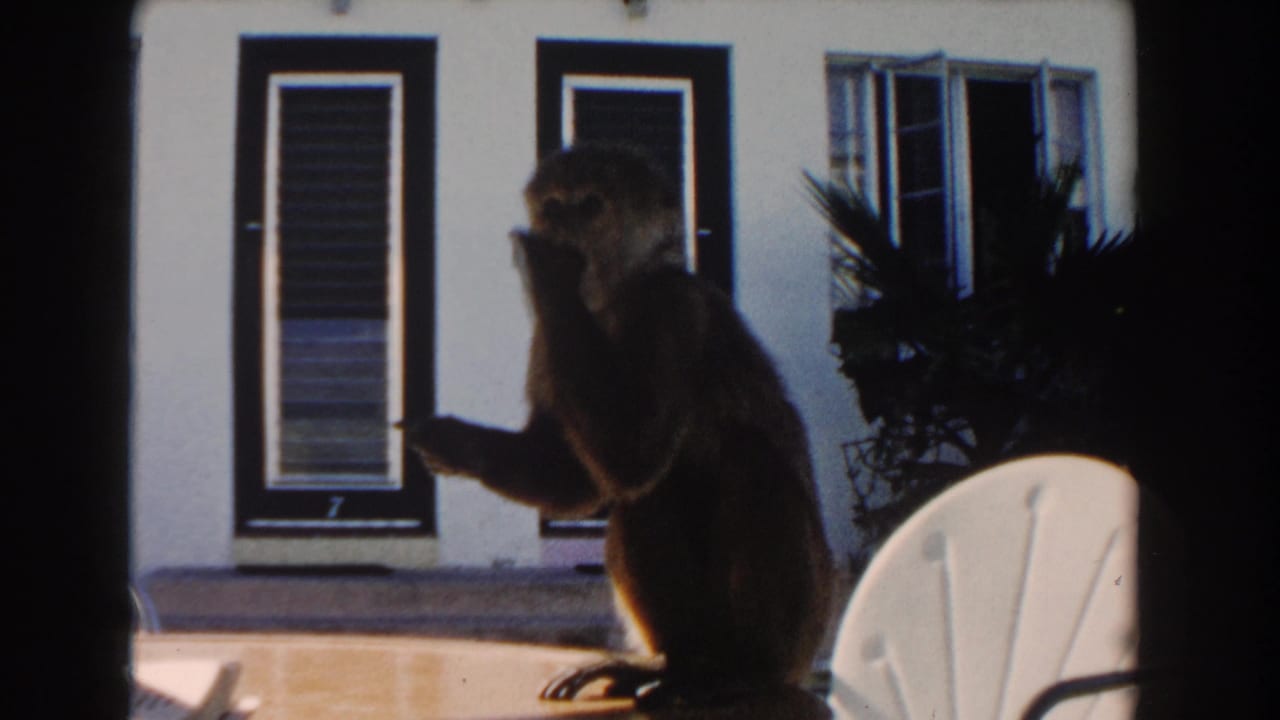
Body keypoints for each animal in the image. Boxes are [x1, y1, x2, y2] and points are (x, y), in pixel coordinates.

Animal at [402, 143, 834, 714]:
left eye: (589, 205)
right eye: (554, 206)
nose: (562, 226)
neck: (613, 300)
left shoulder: (672, 310)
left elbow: (633, 458)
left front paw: (551, 276)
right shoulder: (548, 340)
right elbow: (585, 479)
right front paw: (458, 445)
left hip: (802, 621)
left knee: (746, 464)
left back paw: (741, 672)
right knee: (650, 501)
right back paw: (671, 665)